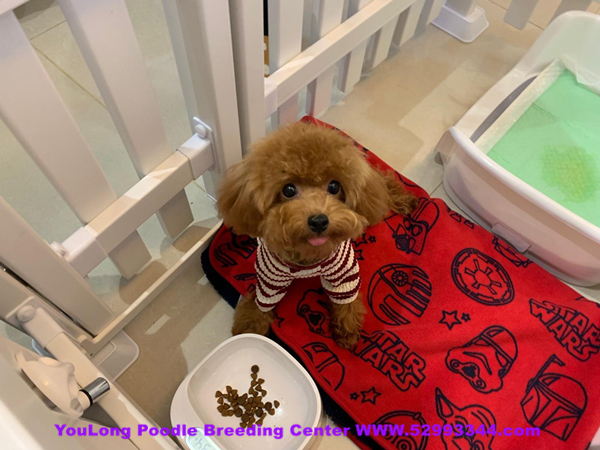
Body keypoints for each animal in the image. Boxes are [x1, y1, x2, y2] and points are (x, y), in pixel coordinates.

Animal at [217, 122, 418, 348]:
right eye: (288, 190)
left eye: (334, 186)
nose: (319, 221)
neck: (307, 257)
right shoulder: (271, 276)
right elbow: (262, 301)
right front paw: (251, 328)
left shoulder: (343, 269)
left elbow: (345, 299)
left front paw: (347, 328)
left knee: (382, 182)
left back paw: (404, 200)